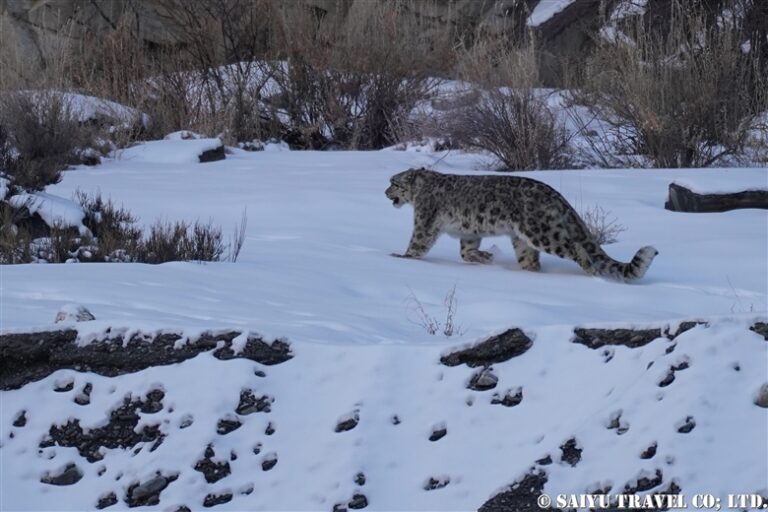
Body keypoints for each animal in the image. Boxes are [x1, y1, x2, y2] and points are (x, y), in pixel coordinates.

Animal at [385, 168, 658, 282]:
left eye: (394, 182)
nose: (386, 192)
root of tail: (554, 194)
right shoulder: (469, 231)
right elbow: (466, 251)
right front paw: (486, 257)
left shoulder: (424, 220)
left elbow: (418, 243)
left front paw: (401, 257)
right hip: (522, 241)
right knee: (531, 260)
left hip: (541, 232)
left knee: (574, 247)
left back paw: (589, 271)